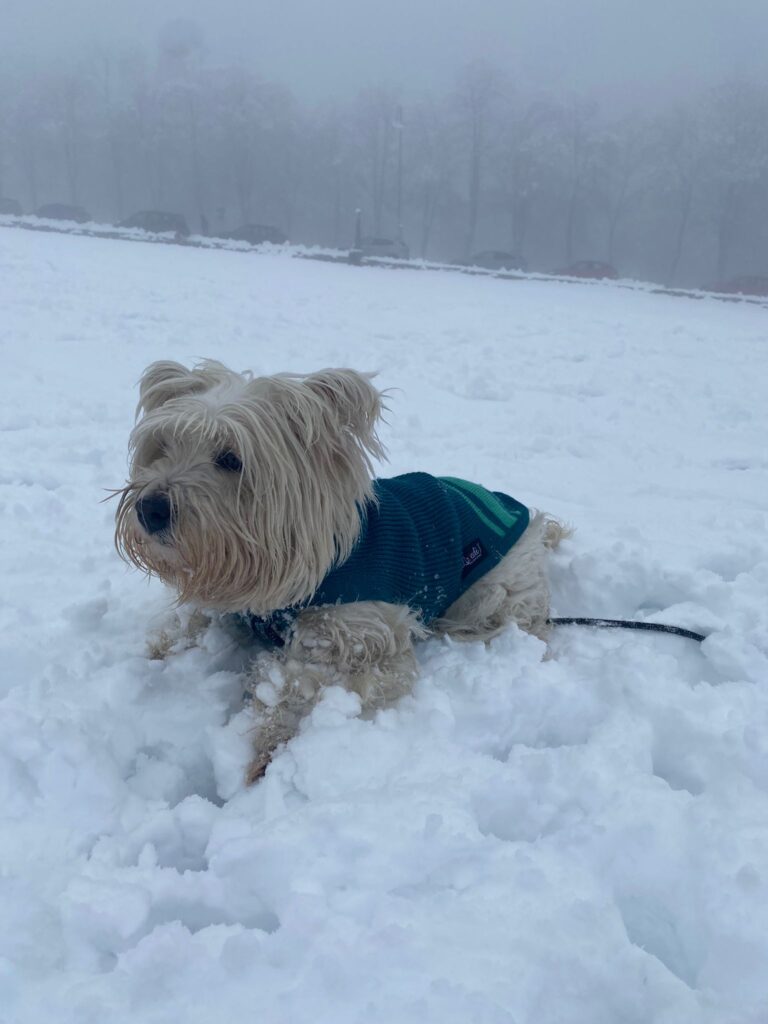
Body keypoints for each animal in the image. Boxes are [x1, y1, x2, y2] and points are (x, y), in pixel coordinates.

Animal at [115, 360, 568, 782]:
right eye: (164, 446)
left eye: (230, 459)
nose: (149, 509)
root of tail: (522, 515)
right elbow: (187, 626)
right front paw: (151, 655)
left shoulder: (370, 640)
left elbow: (300, 680)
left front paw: (265, 744)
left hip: (493, 593)